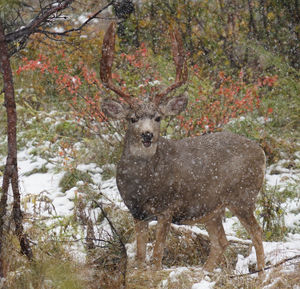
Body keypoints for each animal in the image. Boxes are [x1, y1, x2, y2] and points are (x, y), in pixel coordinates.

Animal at [100, 23, 264, 274]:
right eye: (132, 118)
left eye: (158, 117)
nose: (147, 135)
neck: (143, 183)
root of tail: (262, 152)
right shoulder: (137, 212)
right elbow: (140, 256)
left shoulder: (168, 208)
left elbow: (157, 255)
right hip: (212, 209)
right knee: (221, 241)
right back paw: (206, 273)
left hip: (243, 195)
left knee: (256, 233)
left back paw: (262, 274)